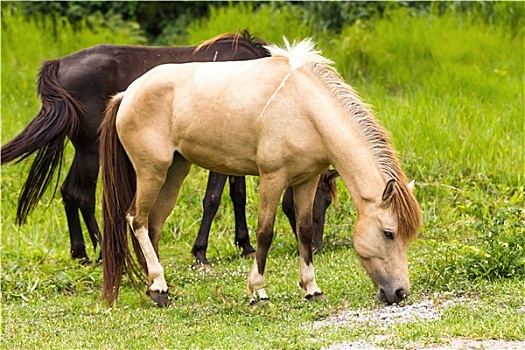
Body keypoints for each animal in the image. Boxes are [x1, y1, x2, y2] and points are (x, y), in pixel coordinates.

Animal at [0, 32, 336, 266]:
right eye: (325, 199)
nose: (317, 246)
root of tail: (59, 64)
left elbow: (237, 196)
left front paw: (244, 244)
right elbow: (213, 199)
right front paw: (201, 252)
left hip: (86, 150)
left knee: (70, 193)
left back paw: (81, 252)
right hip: (91, 152)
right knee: (81, 195)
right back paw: (101, 249)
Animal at [98, 37, 420, 306]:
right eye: (389, 233)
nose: (400, 292)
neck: (306, 110)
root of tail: (127, 94)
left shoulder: (306, 181)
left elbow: (303, 231)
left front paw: (311, 289)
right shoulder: (272, 178)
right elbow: (265, 232)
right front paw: (258, 290)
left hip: (174, 173)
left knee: (153, 225)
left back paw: (157, 288)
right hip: (151, 172)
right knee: (137, 220)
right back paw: (159, 285)